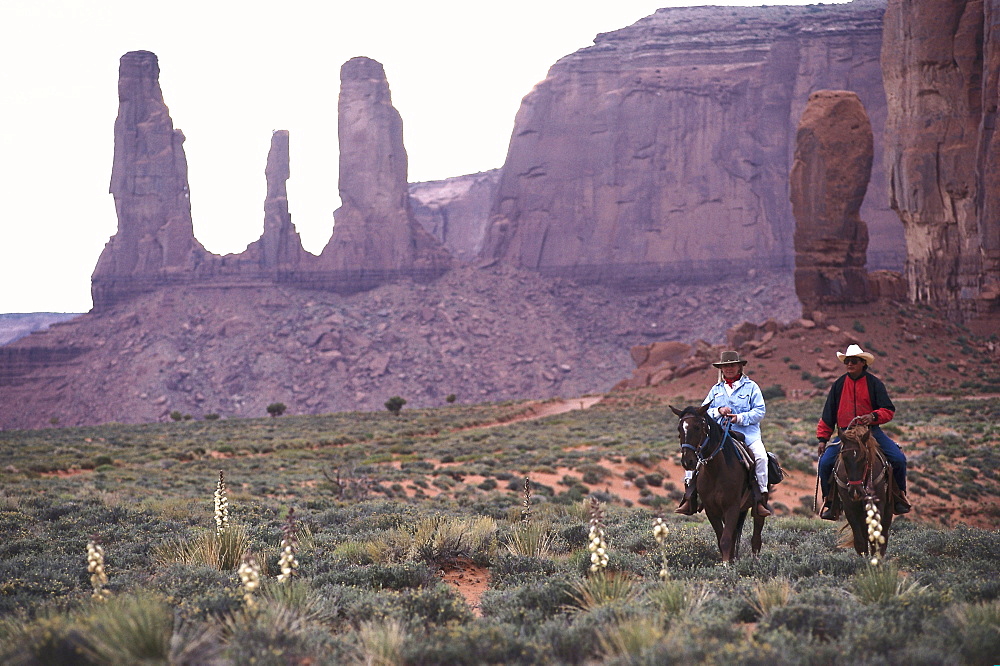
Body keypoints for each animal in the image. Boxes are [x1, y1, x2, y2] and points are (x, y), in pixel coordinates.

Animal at [672, 404, 764, 560]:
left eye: (697, 427)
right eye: (679, 429)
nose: (687, 461)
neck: (716, 471)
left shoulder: (732, 507)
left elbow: (726, 540)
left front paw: (726, 564)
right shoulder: (712, 510)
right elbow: (722, 539)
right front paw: (727, 561)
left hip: (758, 508)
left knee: (756, 537)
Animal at [832, 420, 896, 556]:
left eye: (865, 458)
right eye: (844, 457)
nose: (856, 492)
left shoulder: (878, 505)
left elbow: (875, 537)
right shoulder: (850, 507)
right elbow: (860, 542)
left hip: (888, 509)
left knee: (883, 536)